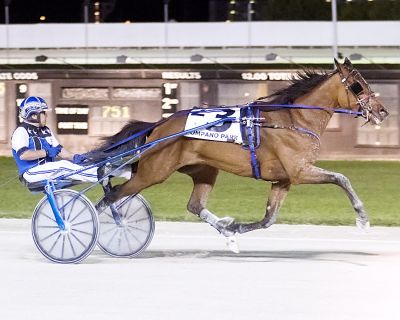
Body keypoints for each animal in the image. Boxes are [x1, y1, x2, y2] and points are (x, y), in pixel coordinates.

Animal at [91, 58, 388, 251]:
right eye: (358, 85)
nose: (383, 111)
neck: (294, 120)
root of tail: (159, 125)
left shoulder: (283, 179)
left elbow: (269, 219)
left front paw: (235, 229)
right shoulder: (300, 172)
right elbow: (342, 178)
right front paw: (362, 218)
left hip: (201, 169)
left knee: (193, 205)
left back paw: (225, 230)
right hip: (154, 171)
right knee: (110, 197)